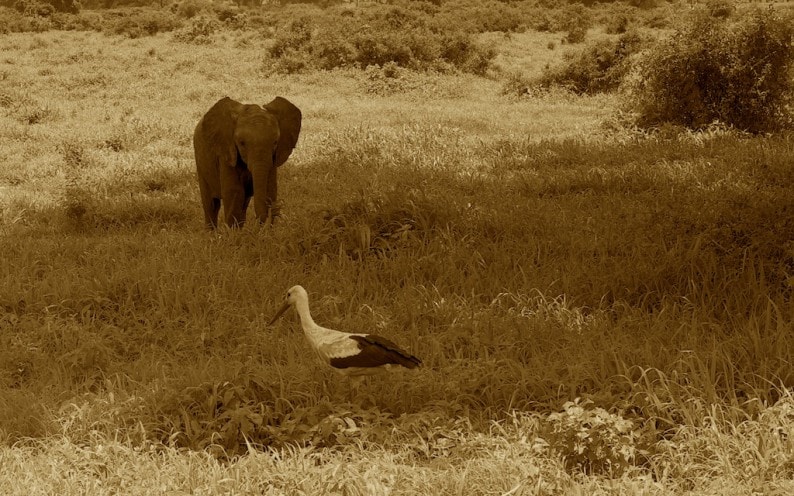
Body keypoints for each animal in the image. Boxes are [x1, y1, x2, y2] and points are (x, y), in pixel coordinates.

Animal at [193, 96, 302, 229]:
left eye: (275, 142)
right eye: (242, 143)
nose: (276, 210)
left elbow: (270, 189)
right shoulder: (226, 152)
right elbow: (234, 192)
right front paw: (233, 233)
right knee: (211, 204)